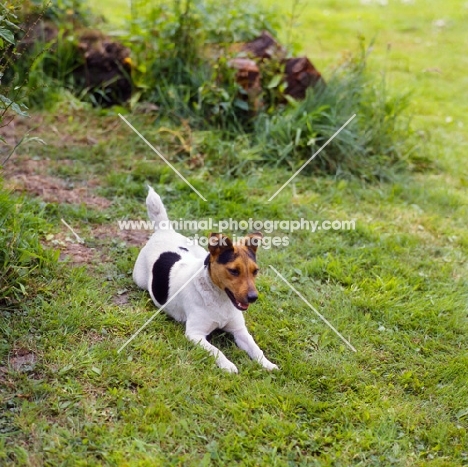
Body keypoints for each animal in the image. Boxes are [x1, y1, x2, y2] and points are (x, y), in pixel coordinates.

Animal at [132, 188, 278, 374]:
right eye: (233, 271)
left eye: (255, 271)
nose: (253, 298)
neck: (220, 299)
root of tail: (164, 231)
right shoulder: (195, 334)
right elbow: (216, 351)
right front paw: (228, 365)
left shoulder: (240, 331)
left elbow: (256, 349)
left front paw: (267, 364)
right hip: (139, 279)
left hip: (200, 251)